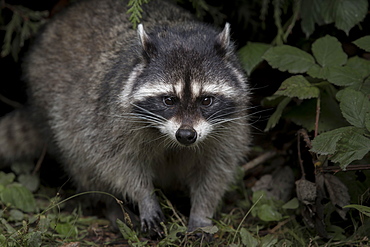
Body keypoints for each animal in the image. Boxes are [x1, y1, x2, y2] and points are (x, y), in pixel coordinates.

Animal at [0, 0, 251, 235]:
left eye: (206, 100)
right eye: (169, 100)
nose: (186, 135)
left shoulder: (231, 128)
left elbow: (216, 171)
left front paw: (202, 212)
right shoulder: (110, 119)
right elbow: (119, 164)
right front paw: (144, 198)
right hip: (53, 107)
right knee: (82, 162)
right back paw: (112, 205)